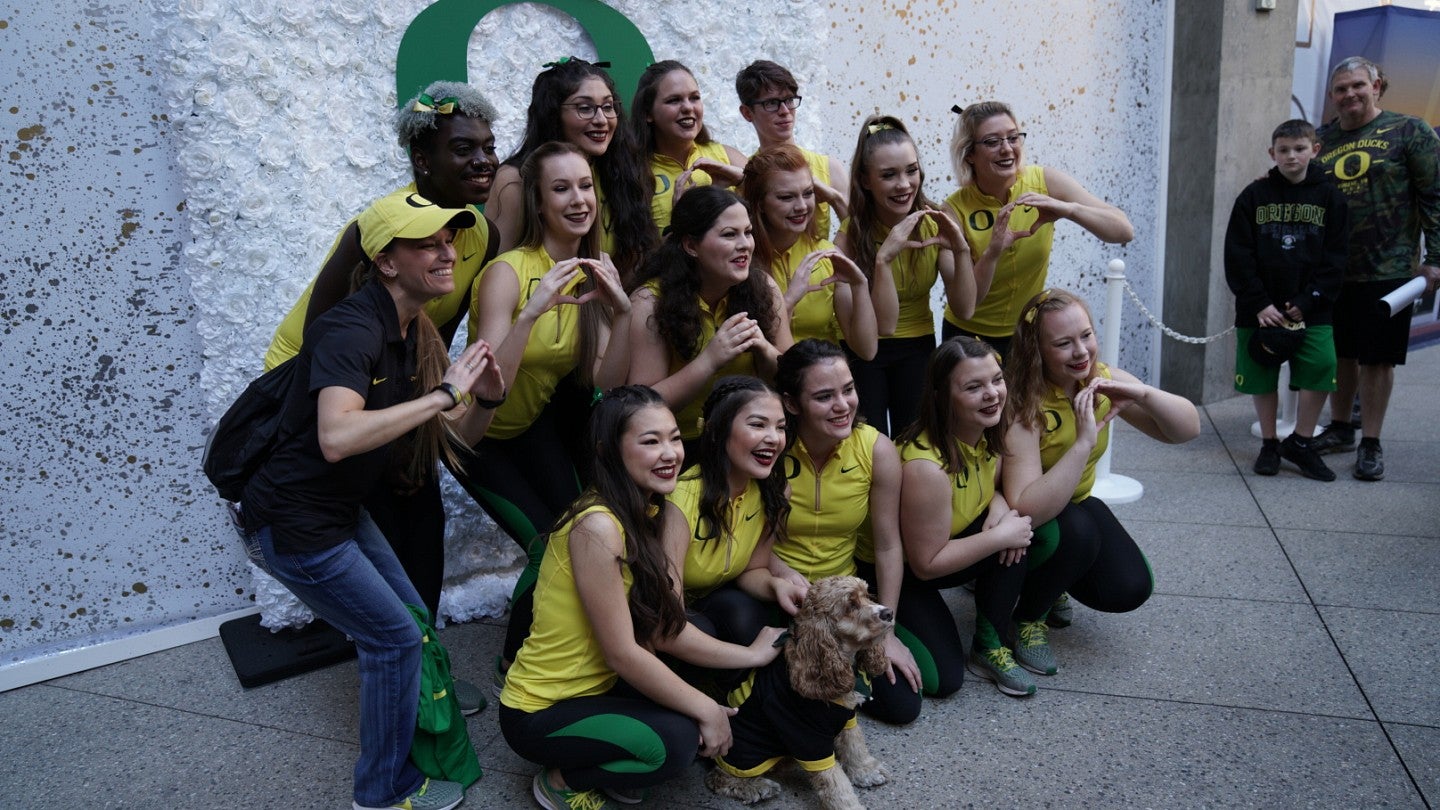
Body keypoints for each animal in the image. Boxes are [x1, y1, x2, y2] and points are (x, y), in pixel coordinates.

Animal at [705, 570, 892, 801]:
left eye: (867, 595)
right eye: (851, 605)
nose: (889, 612)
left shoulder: (846, 716)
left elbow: (854, 744)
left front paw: (865, 771)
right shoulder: (805, 735)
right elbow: (835, 784)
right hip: (747, 751)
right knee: (718, 778)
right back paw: (758, 787)